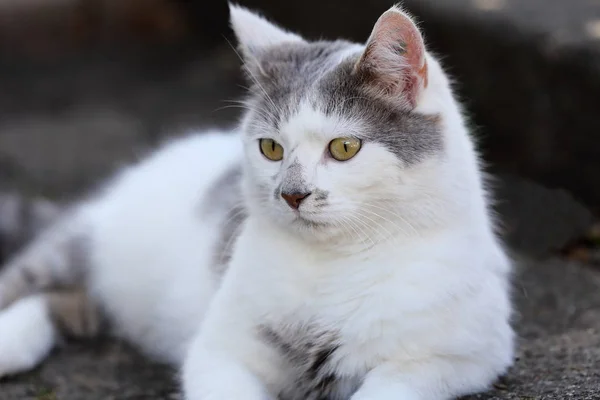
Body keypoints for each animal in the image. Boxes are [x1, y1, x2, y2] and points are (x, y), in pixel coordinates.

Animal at [0, 3, 516, 400]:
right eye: (271, 148)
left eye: (344, 148)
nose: (292, 193)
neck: (334, 264)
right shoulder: (219, 350)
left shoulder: (456, 357)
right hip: (81, 243)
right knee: (29, 283)